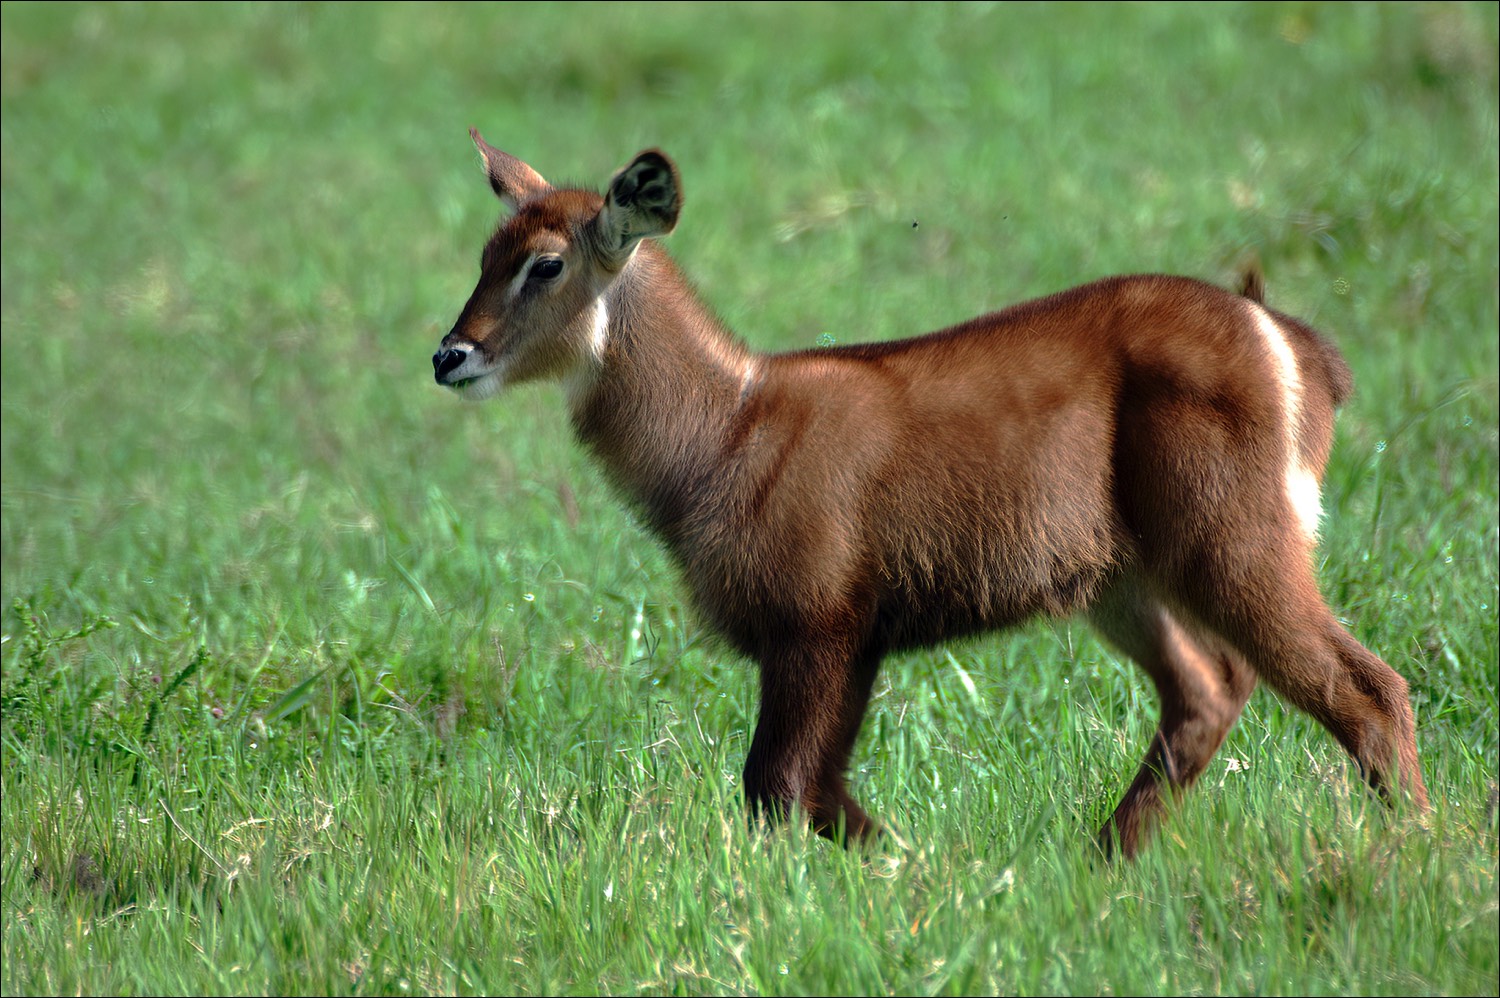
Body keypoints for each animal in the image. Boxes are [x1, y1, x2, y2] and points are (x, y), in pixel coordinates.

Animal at [432, 134, 1428, 858]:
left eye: (545, 264)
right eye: (484, 252)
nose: (450, 355)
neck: (727, 430)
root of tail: (1296, 347)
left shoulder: (816, 624)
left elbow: (776, 786)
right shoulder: (856, 638)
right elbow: (819, 791)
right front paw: (917, 864)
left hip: (1234, 546)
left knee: (1367, 690)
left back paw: (1422, 852)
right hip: (1123, 581)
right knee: (1208, 692)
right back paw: (1096, 861)